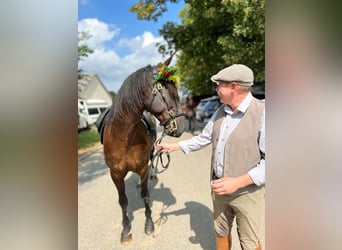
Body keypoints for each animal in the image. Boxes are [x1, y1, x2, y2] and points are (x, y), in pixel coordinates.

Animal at [101, 55, 186, 244]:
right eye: (168, 91)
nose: (181, 126)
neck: (124, 138)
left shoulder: (142, 168)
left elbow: (145, 195)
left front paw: (149, 224)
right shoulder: (115, 173)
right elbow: (123, 201)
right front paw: (126, 230)